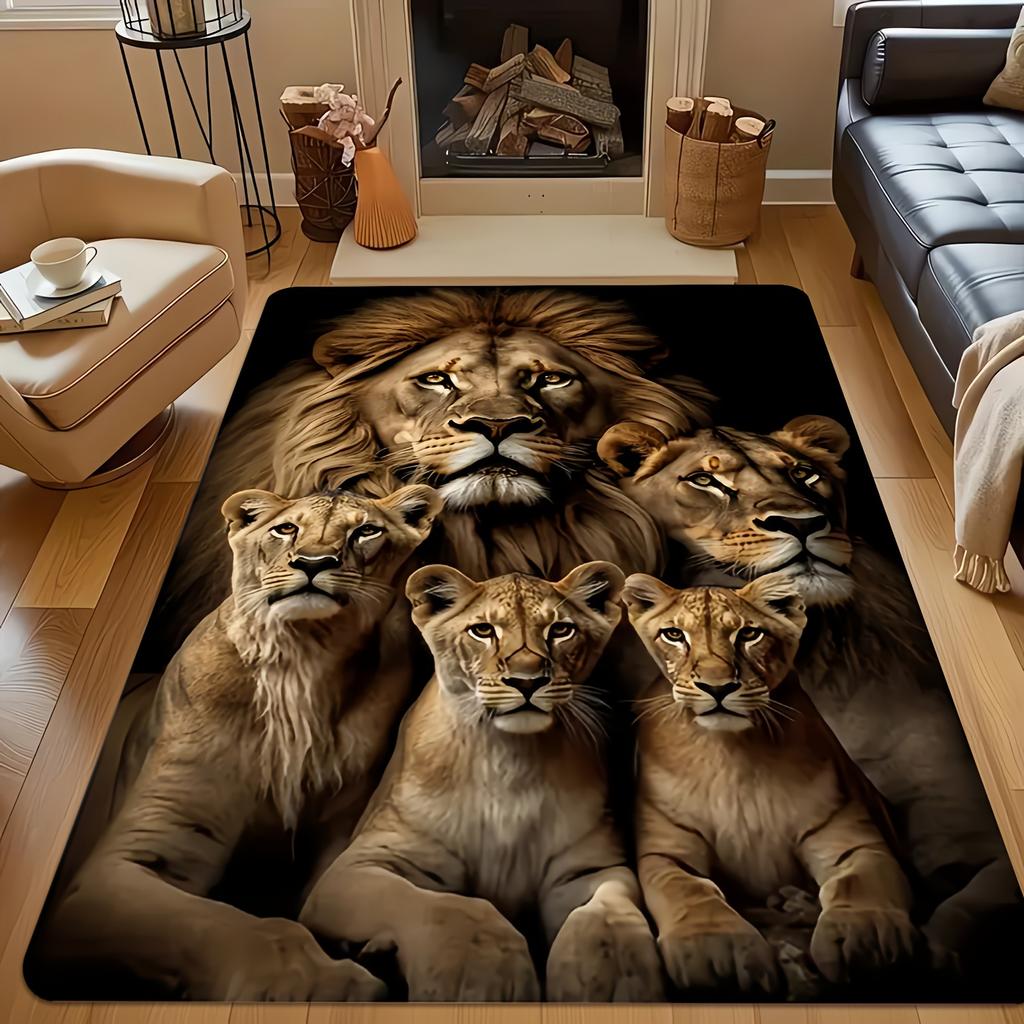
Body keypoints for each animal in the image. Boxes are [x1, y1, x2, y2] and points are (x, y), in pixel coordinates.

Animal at [37, 484, 441, 1001]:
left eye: (366, 530)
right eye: (285, 528)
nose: (313, 561)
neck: (303, 661)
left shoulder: (339, 839)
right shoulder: (124, 864)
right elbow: (256, 929)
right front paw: (326, 984)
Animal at [300, 562, 664, 1003]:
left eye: (561, 630)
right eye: (483, 630)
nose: (527, 681)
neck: (508, 757)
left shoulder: (588, 867)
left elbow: (606, 916)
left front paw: (613, 979)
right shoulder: (356, 868)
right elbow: (452, 908)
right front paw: (485, 975)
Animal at [622, 571, 918, 993]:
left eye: (749, 634)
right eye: (674, 635)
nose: (717, 688)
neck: (732, 752)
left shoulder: (851, 838)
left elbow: (859, 882)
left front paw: (866, 938)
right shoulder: (665, 851)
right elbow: (690, 890)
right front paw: (719, 948)